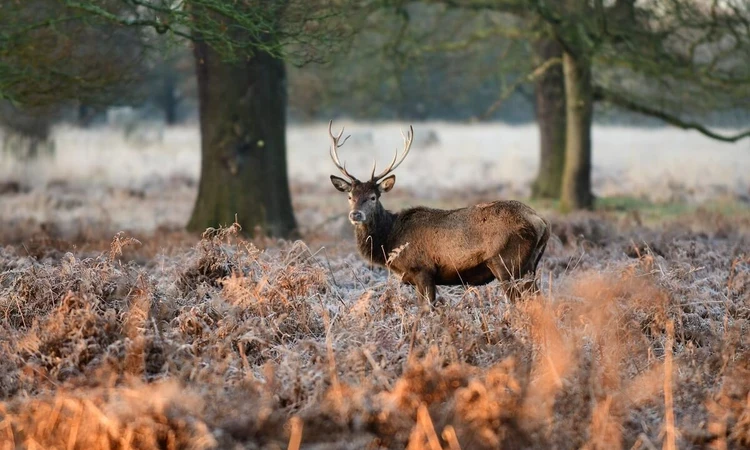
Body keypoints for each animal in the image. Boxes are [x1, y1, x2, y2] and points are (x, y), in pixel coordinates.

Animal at [328, 121, 552, 308]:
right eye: (350, 196)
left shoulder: (422, 270)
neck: (390, 239)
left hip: (508, 264)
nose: (356, 215)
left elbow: (426, 309)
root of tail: (541, 222)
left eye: (373, 197)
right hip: (529, 266)